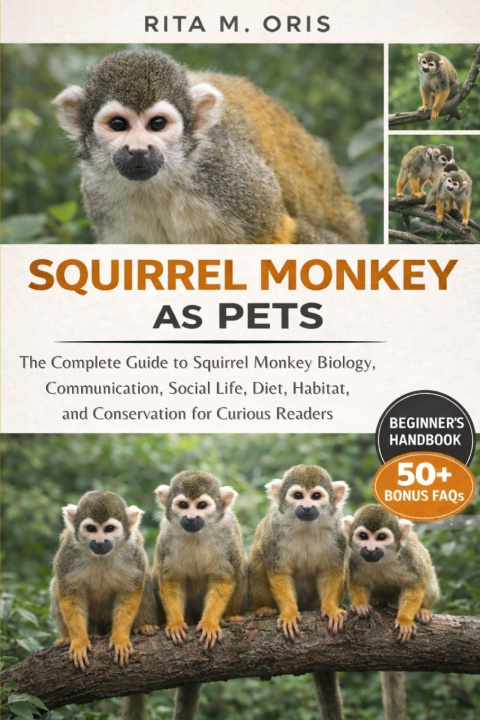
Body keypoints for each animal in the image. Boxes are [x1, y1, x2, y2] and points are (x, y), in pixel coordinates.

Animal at [50, 491, 159, 720]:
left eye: (109, 529)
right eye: (91, 529)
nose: (100, 542)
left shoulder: (132, 552)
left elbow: (130, 589)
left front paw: (120, 637)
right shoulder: (69, 553)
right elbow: (69, 591)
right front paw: (79, 641)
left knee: (144, 578)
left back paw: (143, 626)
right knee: (56, 584)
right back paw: (66, 637)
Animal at [53, 49, 367, 245]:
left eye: (157, 124)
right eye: (118, 124)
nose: (138, 150)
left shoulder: (228, 175)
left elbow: (277, 233)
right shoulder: (97, 193)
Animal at [153, 470, 247, 720]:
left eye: (202, 505)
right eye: (183, 505)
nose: (191, 518)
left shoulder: (227, 535)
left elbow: (223, 578)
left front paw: (210, 623)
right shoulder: (166, 535)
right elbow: (170, 579)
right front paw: (175, 623)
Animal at [249, 465, 350, 720]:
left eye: (315, 496)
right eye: (297, 495)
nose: (306, 507)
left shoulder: (338, 532)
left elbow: (332, 570)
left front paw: (331, 609)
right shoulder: (275, 533)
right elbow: (278, 571)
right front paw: (288, 614)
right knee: (258, 557)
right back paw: (262, 609)